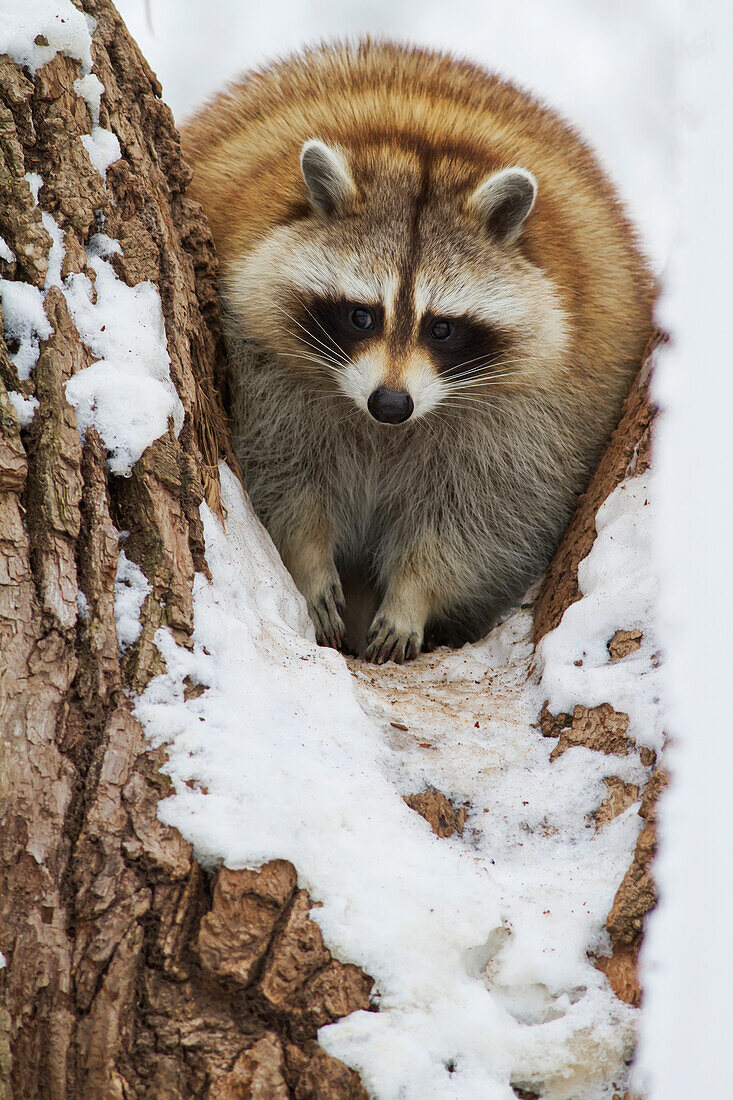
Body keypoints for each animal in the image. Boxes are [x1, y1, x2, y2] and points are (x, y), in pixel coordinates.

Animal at [182, 40, 651, 660]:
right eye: (362, 316)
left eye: (441, 329)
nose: (390, 404)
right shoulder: (260, 366)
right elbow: (279, 474)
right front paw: (305, 561)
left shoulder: (539, 411)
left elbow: (491, 515)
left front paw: (416, 593)